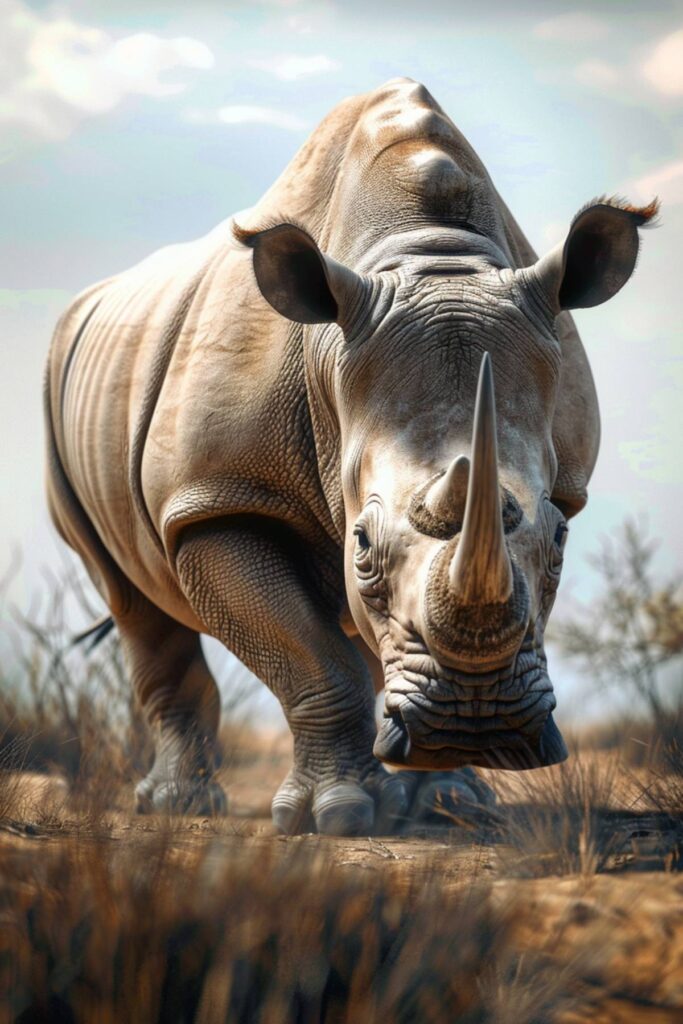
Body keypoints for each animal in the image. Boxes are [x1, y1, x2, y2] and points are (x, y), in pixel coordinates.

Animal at [44, 77, 655, 831]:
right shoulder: (217, 496)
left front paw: (447, 805)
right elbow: (311, 659)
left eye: (562, 540)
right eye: (360, 542)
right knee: (130, 598)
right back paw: (177, 805)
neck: (424, 255)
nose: (476, 723)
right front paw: (337, 815)